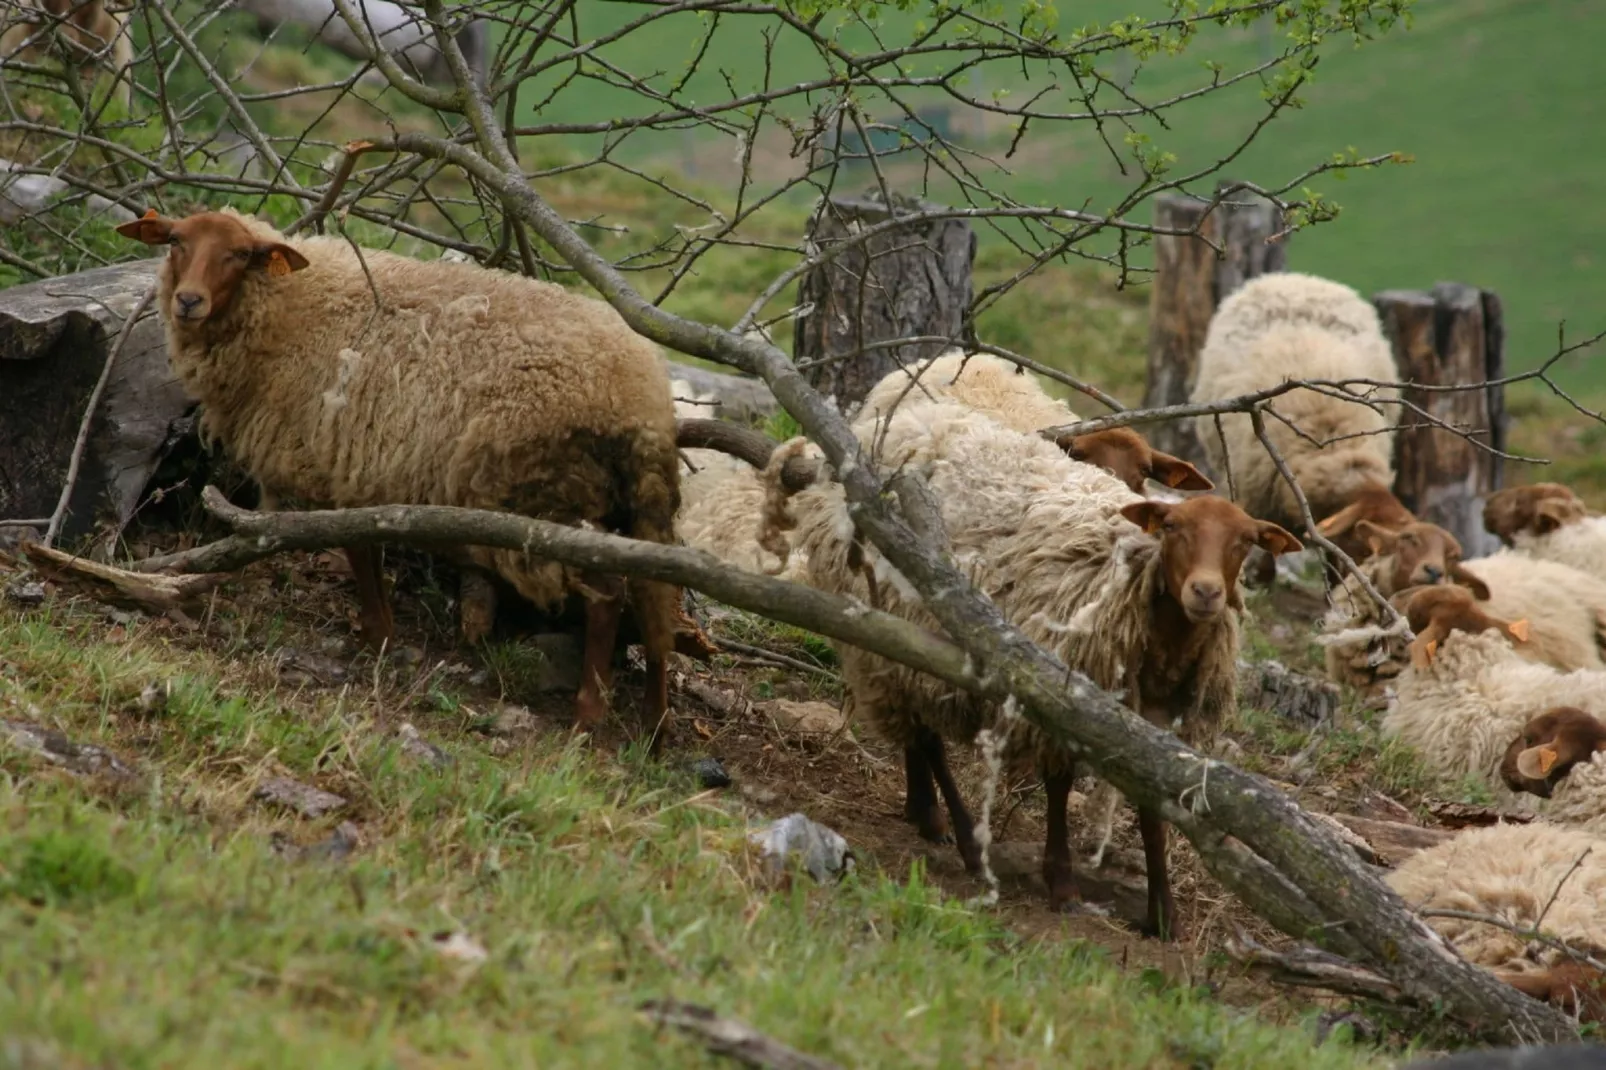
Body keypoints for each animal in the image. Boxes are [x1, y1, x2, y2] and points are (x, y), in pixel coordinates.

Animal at [116, 205, 684, 742]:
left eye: (239, 255)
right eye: (175, 242)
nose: (188, 301)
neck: (291, 305)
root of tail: (644, 399)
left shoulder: (334, 460)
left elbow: (357, 550)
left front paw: (376, 635)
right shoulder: (357, 467)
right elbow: (365, 548)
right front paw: (383, 631)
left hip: (541, 497)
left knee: (609, 594)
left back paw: (589, 714)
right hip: (627, 501)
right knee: (655, 598)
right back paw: (655, 724)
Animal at [758, 395, 1297, 938]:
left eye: (1245, 540)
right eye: (1171, 528)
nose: (1205, 592)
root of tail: (898, 423)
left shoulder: (1159, 730)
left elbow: (1153, 817)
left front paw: (1163, 914)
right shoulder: (1061, 695)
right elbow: (1058, 788)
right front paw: (1062, 885)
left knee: (918, 729)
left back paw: (924, 811)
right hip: (899, 630)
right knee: (927, 737)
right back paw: (963, 837)